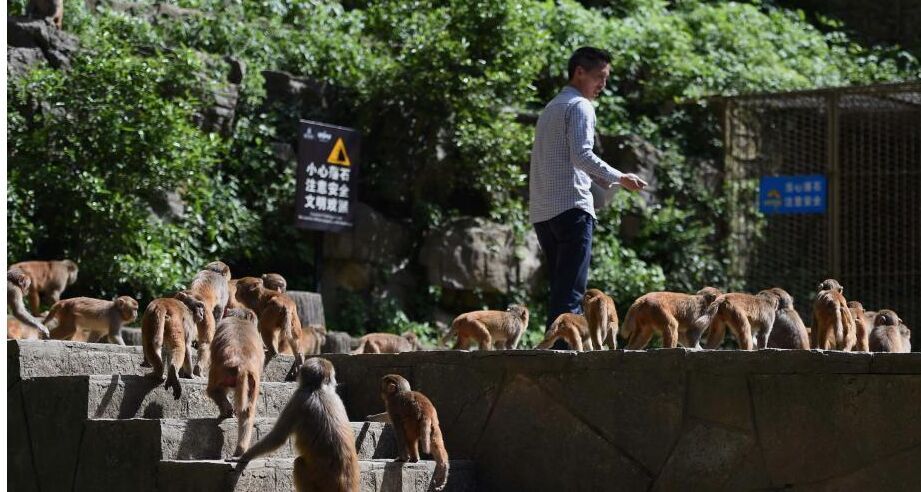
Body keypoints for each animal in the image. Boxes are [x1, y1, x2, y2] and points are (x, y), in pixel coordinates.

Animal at [208, 306, 264, 456]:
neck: (239, 318)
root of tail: (242, 364)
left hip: (221, 372)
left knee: (214, 390)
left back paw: (225, 410)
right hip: (251, 381)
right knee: (247, 411)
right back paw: (241, 448)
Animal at [230, 358, 360, 492]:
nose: (335, 383)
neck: (317, 389)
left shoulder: (298, 398)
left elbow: (278, 437)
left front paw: (243, 456)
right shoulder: (335, 397)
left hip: (321, 481)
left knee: (299, 463)